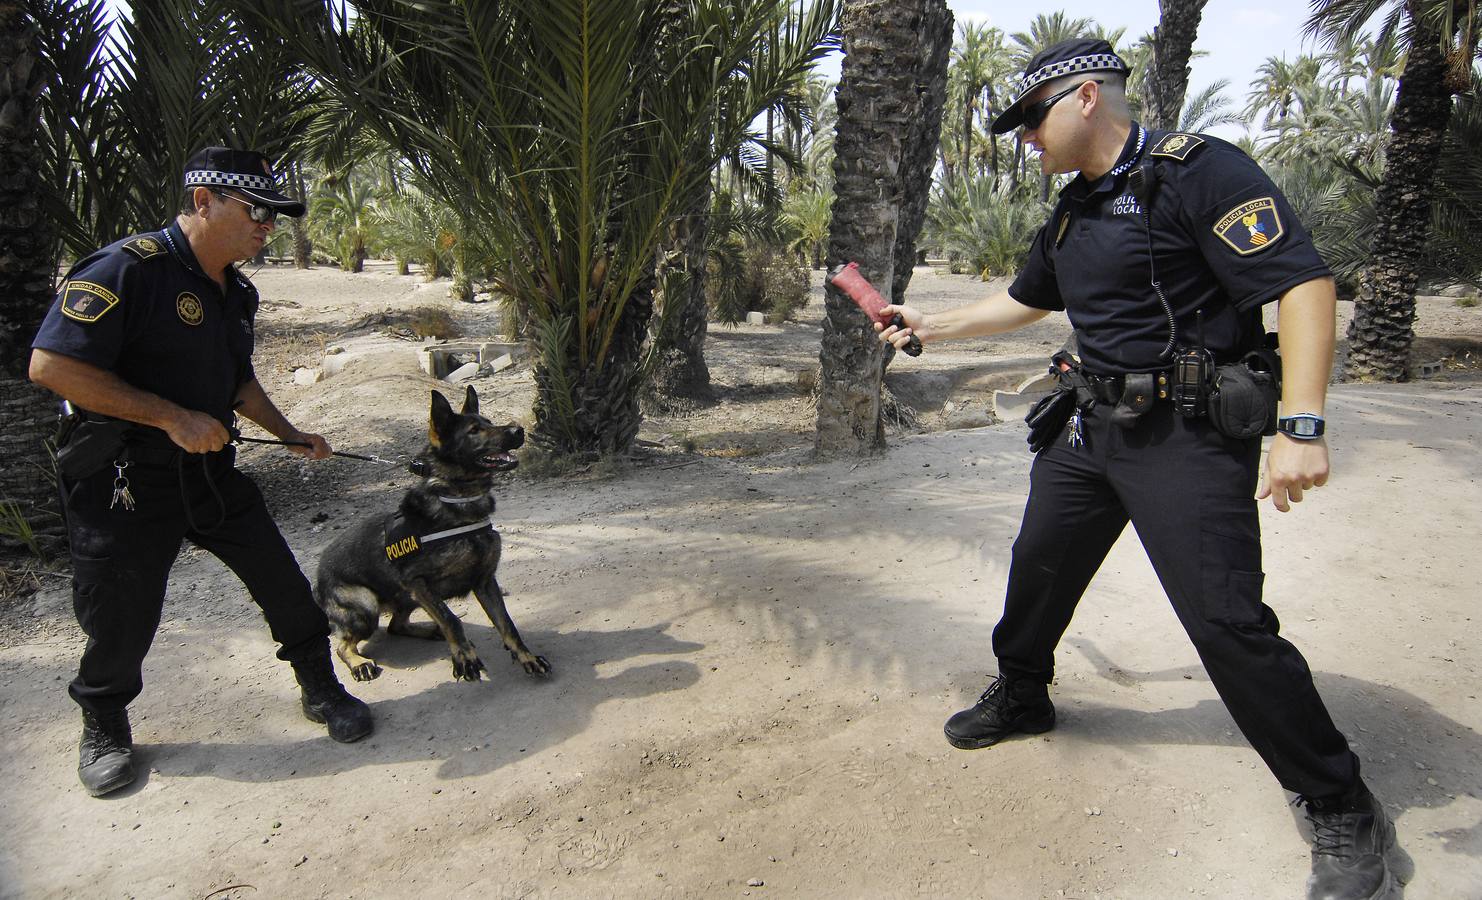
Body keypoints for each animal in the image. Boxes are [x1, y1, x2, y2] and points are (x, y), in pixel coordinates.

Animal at [312, 385, 551, 682]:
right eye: (474, 430)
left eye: (489, 422)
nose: (518, 430)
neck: (458, 503)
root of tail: (318, 579)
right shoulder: (416, 582)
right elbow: (451, 619)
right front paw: (464, 656)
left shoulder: (484, 582)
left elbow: (507, 625)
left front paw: (527, 657)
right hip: (367, 607)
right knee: (343, 645)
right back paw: (359, 663)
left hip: (406, 599)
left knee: (395, 625)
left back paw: (428, 630)